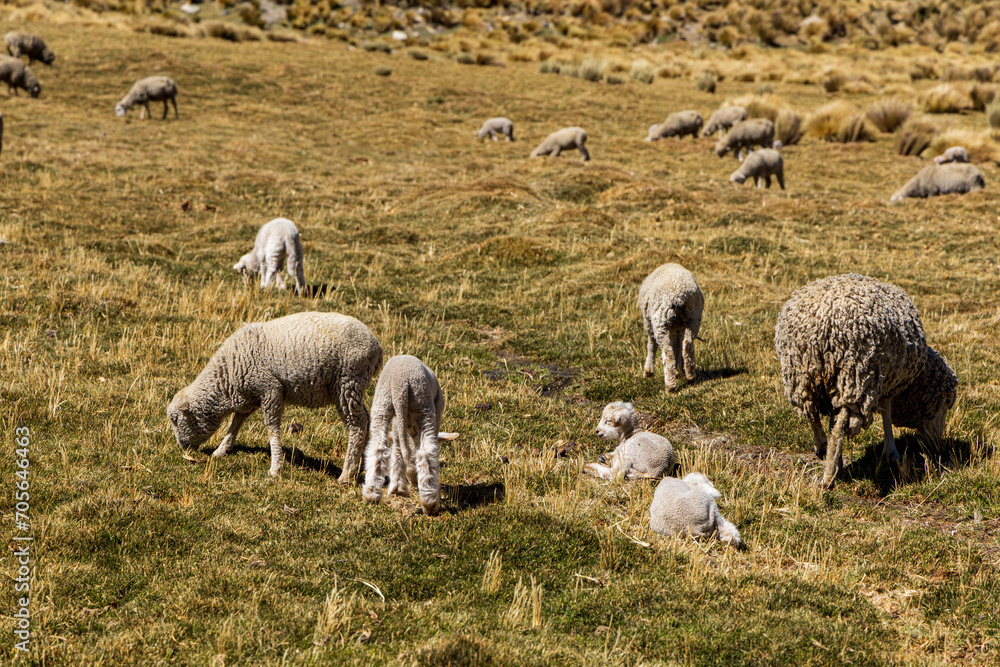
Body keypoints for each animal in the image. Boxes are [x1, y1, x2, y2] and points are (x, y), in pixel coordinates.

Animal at [166, 311, 383, 482]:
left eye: (175, 420)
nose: (181, 447)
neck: (226, 377)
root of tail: (376, 348)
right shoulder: (250, 394)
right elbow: (237, 421)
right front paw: (222, 449)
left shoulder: (270, 389)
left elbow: (271, 428)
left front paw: (275, 467)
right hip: (352, 387)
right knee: (366, 419)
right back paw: (362, 468)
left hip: (347, 382)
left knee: (357, 425)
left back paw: (347, 474)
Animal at [362, 355, 448, 515]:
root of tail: (400, 385)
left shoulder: (397, 424)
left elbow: (397, 450)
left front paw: (399, 486)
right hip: (423, 403)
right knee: (426, 453)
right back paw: (430, 503)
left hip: (382, 403)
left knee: (379, 448)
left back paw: (372, 494)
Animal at [774, 274, 957, 488]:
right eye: (944, 406)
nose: (936, 444)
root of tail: (821, 320)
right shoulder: (886, 381)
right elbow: (886, 413)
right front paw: (891, 452)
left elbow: (833, 419)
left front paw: (837, 455)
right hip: (855, 373)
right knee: (839, 427)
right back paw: (829, 476)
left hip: (802, 376)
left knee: (812, 413)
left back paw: (822, 447)